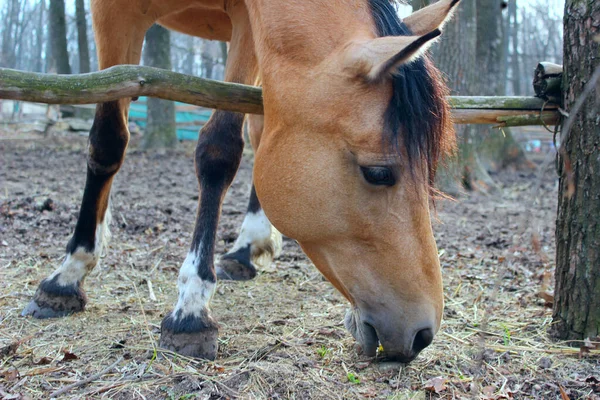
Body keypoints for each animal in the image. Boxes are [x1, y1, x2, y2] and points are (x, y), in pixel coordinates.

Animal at [21, 0, 458, 362]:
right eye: (378, 173)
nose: (422, 333)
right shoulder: (112, 11)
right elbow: (108, 141)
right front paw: (66, 277)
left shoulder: (247, 19)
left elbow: (221, 148)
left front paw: (191, 306)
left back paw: (247, 247)